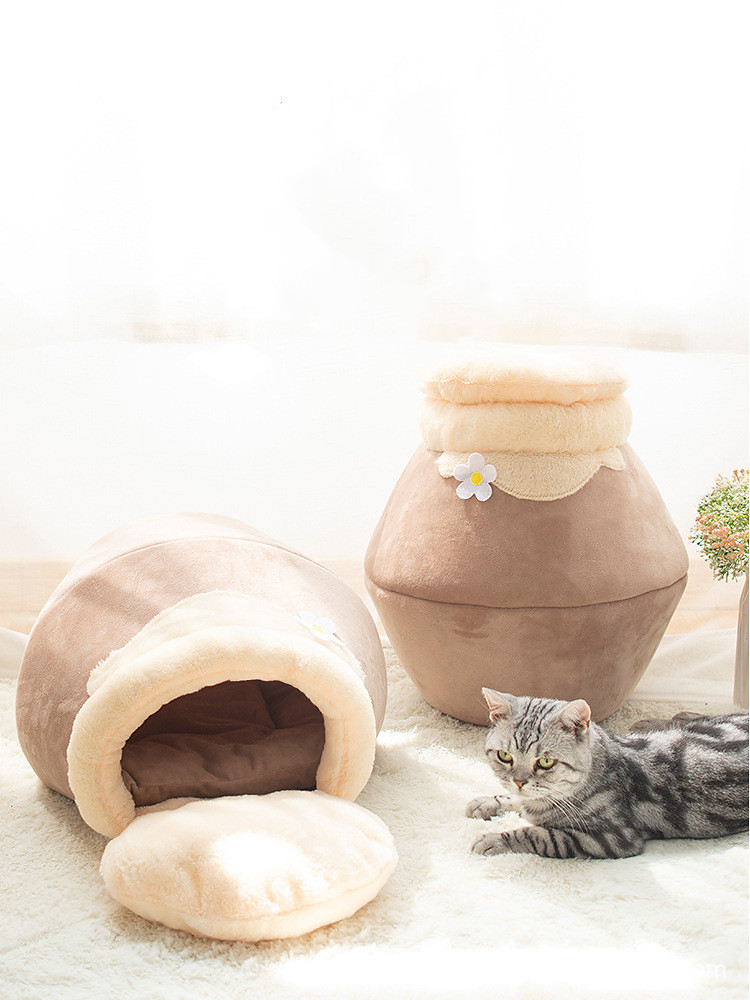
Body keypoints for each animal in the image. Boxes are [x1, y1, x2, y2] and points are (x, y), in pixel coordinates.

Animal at [466, 687, 749, 859]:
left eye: (546, 762)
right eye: (505, 756)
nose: (519, 781)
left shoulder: (612, 838)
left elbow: (538, 834)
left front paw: (495, 839)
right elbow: (517, 802)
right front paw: (487, 802)